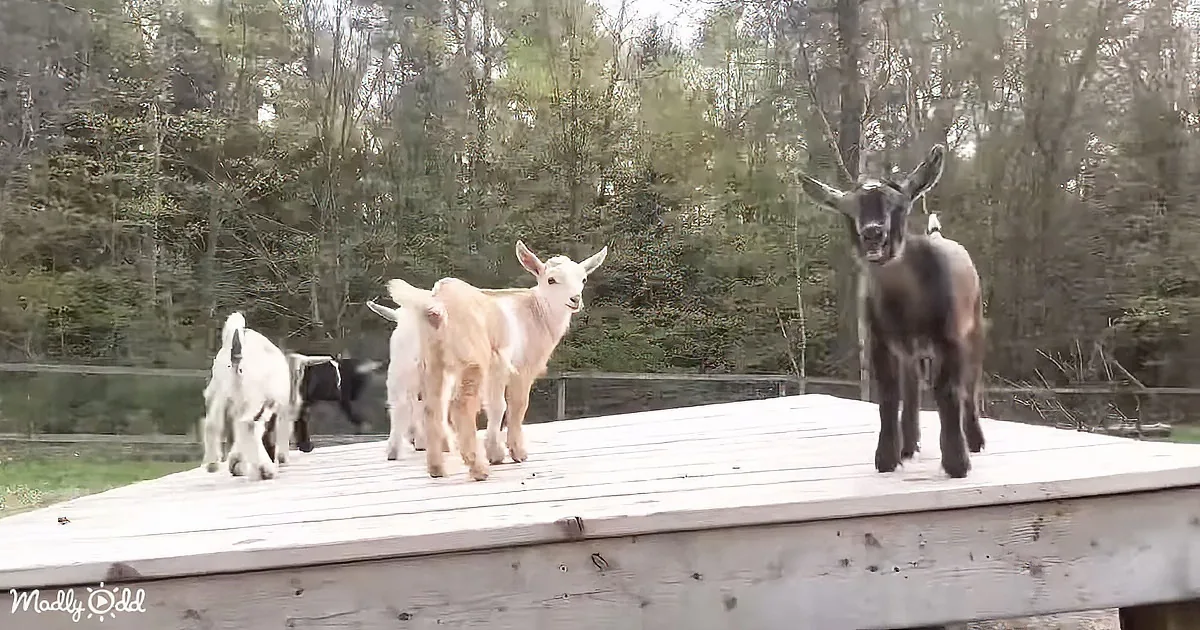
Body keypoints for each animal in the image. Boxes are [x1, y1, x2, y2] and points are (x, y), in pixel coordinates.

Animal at [201, 312, 334, 479]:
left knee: (213, 424)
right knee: (249, 426)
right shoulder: (281, 409)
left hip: (220, 394)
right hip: (257, 401)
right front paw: (280, 459)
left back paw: (212, 464)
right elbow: (280, 432)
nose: (308, 446)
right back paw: (266, 469)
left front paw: (236, 462)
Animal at [384, 277, 514, 481]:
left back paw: (433, 465)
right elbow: (498, 405)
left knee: (426, 408)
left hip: (430, 367)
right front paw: (497, 452)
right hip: (470, 363)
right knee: (460, 407)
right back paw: (478, 468)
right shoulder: (498, 363)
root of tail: (437, 308)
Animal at [799, 144, 986, 478]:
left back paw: (975, 440)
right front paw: (886, 458)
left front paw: (957, 462)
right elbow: (888, 395)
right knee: (911, 390)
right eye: (849, 210)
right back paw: (908, 446)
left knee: (971, 383)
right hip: (911, 351)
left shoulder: (950, 337)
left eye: (899, 205)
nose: (873, 233)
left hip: (974, 325)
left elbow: (949, 391)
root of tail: (939, 235)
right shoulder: (879, 341)